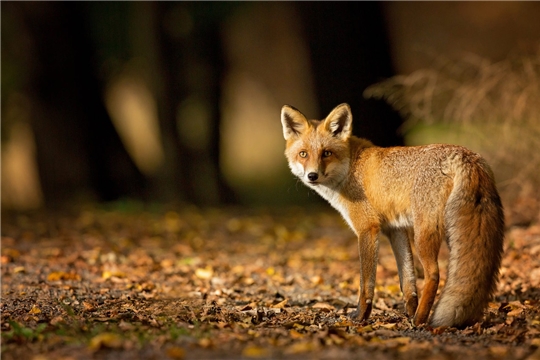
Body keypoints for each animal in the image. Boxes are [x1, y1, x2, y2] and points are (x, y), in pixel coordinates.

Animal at [280, 102, 504, 328]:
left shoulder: (368, 228)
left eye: (326, 153)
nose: (312, 176)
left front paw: (361, 316)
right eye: (303, 154)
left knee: (433, 274)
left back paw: (420, 320)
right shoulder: (396, 229)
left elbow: (366, 283)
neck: (351, 168)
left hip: (425, 234)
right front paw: (409, 312)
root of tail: (466, 155)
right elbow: (407, 281)